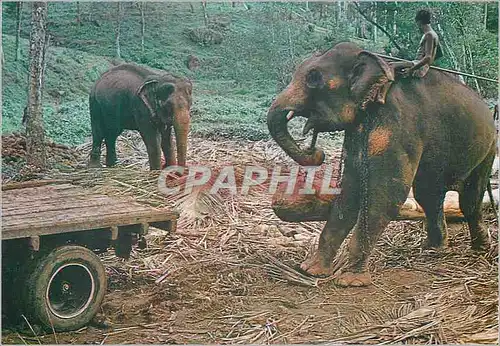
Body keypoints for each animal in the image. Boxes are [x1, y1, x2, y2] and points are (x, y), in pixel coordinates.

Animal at [266, 42, 496, 288]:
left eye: (313, 77)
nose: (316, 152)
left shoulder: (398, 127)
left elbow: (386, 195)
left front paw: (351, 281)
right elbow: (350, 190)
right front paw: (311, 270)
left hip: (488, 147)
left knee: (469, 198)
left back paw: (481, 247)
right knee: (428, 195)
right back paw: (434, 248)